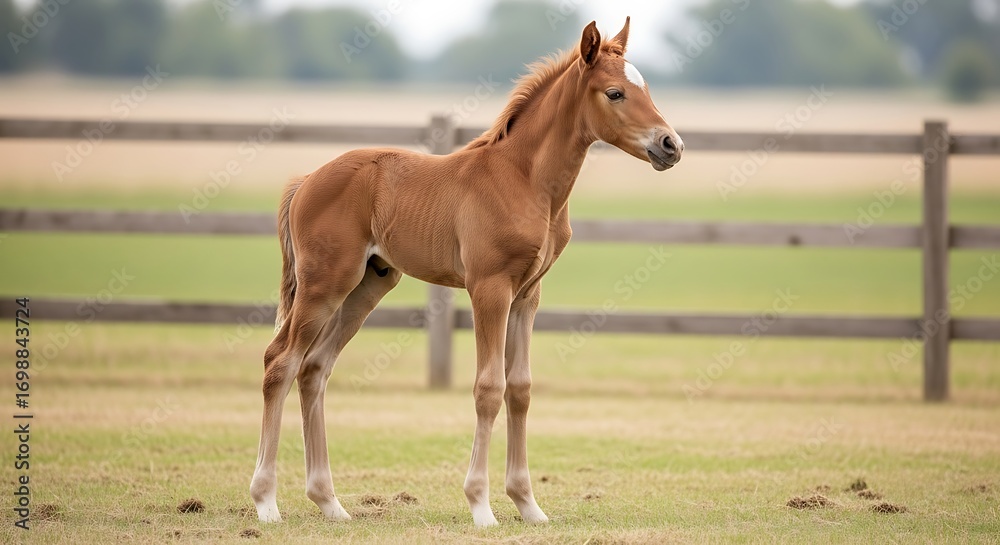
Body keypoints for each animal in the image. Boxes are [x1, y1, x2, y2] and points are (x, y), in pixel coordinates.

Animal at [250, 17, 683, 527]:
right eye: (615, 93)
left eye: (646, 88)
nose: (671, 145)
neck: (524, 180)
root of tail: (306, 182)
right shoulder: (488, 289)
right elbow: (489, 388)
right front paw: (481, 505)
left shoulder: (527, 295)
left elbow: (520, 389)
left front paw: (528, 504)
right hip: (324, 285)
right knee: (281, 361)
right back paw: (266, 501)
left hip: (367, 285)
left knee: (315, 368)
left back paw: (330, 502)